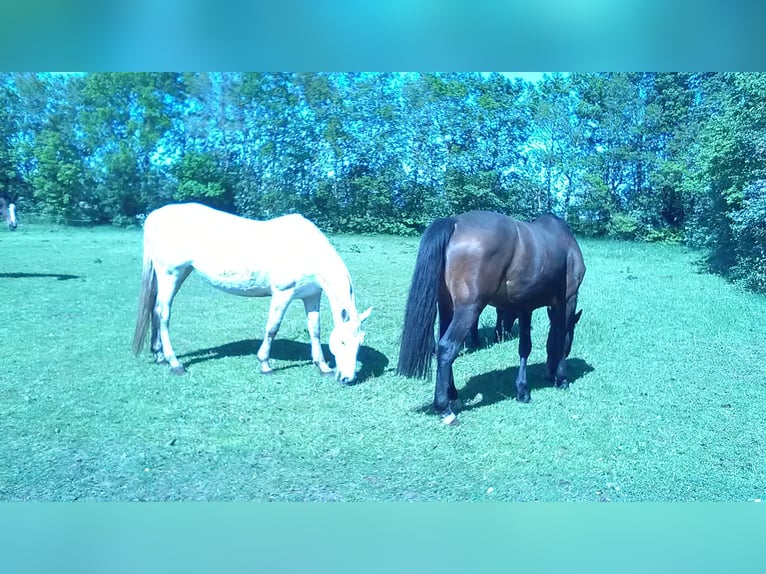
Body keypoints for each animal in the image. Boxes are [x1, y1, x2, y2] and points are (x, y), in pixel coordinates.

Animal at [134, 205, 376, 384]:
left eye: (360, 342)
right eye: (343, 342)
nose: (347, 378)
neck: (308, 251)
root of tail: (154, 216)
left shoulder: (311, 296)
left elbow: (314, 330)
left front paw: (323, 366)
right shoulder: (282, 294)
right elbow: (272, 329)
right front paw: (265, 365)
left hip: (178, 274)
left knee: (155, 310)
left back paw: (159, 356)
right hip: (170, 274)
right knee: (163, 314)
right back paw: (175, 363)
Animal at [400, 213, 584, 428]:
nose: (550, 374)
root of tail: (455, 222)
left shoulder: (525, 306)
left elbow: (525, 347)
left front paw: (523, 390)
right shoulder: (568, 299)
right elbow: (562, 339)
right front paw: (562, 379)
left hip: (446, 306)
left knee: (440, 347)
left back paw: (453, 395)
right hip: (468, 309)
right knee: (447, 348)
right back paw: (445, 409)